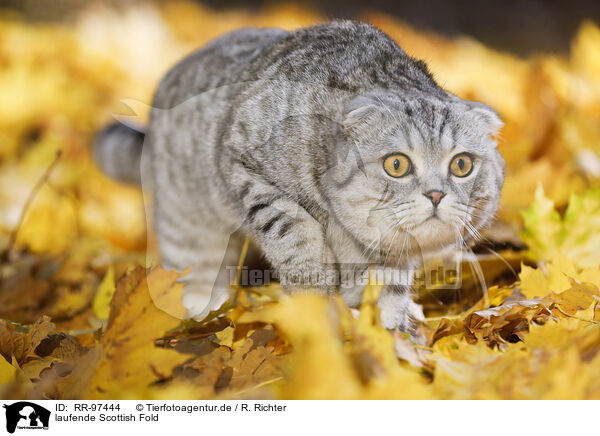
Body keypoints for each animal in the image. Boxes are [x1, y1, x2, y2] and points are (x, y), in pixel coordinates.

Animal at [95, 19, 506, 334]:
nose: (436, 195)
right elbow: (295, 233)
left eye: (462, 165)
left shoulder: (390, 253)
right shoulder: (244, 166)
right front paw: (315, 299)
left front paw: (388, 333)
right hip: (190, 231)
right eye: (397, 165)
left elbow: (386, 289)